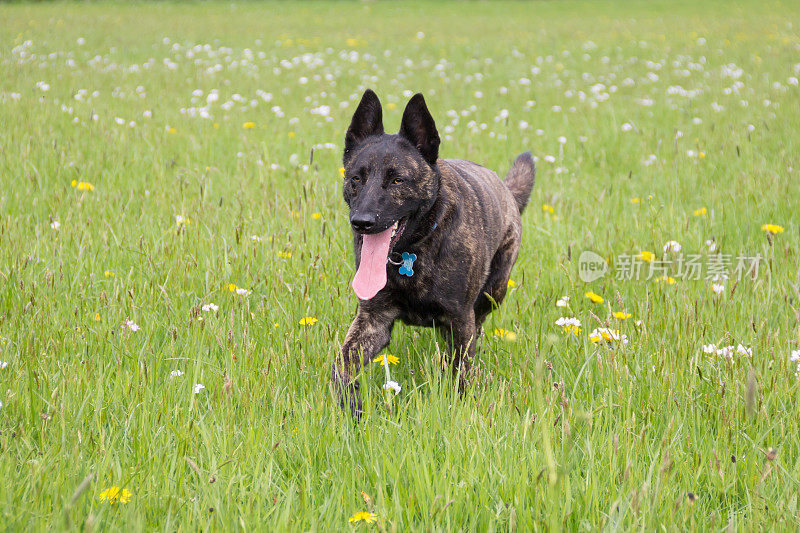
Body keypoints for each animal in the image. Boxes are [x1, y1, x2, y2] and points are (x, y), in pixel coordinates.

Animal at [334, 89, 536, 414]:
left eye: (397, 180)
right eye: (356, 178)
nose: (361, 222)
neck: (411, 252)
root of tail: (506, 189)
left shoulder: (460, 319)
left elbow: (461, 373)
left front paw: (458, 407)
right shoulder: (372, 320)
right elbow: (342, 364)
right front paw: (349, 411)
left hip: (493, 292)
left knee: (478, 325)